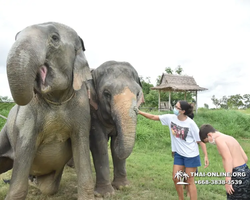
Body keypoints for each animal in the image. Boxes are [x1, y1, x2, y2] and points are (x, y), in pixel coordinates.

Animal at [0, 22, 94, 200]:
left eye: (55, 38)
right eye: (16, 37)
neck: (57, 99)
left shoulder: (82, 107)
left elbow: (81, 147)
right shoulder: (27, 118)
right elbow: (25, 149)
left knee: (48, 188)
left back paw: (34, 182)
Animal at [88, 60, 145, 195]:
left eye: (138, 94)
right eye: (107, 94)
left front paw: (123, 187)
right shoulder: (93, 113)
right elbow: (99, 145)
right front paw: (105, 194)